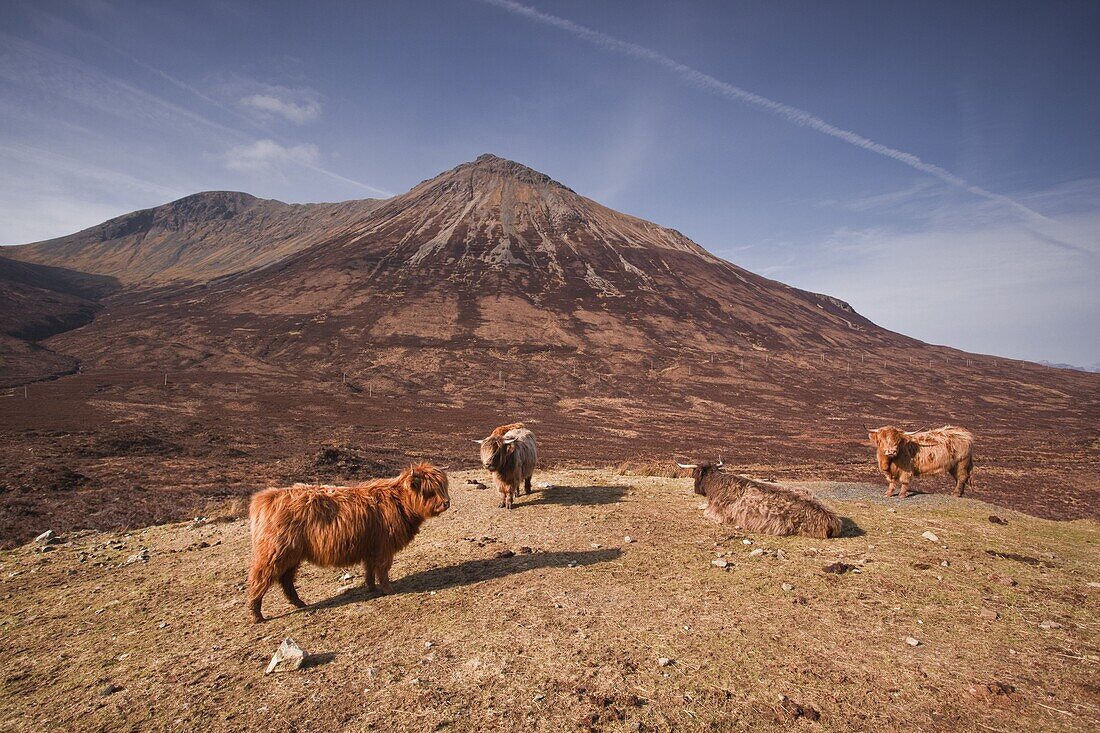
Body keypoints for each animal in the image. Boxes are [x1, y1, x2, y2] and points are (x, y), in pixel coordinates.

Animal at [247, 460, 448, 620]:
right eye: (429, 491)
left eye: (443, 487)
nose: (446, 503)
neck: (399, 501)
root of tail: (266, 498)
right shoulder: (384, 548)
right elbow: (382, 569)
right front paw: (389, 590)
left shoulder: (371, 547)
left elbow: (369, 569)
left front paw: (371, 588)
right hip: (275, 553)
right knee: (260, 577)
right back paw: (256, 614)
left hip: (292, 556)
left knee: (286, 580)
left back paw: (299, 603)